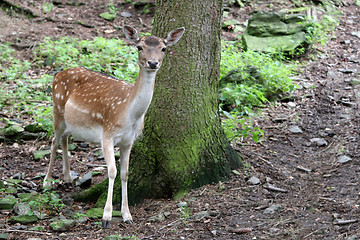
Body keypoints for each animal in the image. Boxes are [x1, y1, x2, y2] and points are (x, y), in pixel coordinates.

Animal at [43, 25, 186, 228]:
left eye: (164, 48)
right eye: (139, 47)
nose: (152, 63)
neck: (130, 114)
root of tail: (57, 74)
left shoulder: (128, 141)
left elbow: (125, 173)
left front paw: (127, 215)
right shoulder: (107, 134)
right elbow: (112, 171)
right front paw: (106, 217)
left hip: (70, 121)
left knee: (64, 139)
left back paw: (68, 178)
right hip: (57, 108)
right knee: (54, 140)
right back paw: (47, 182)